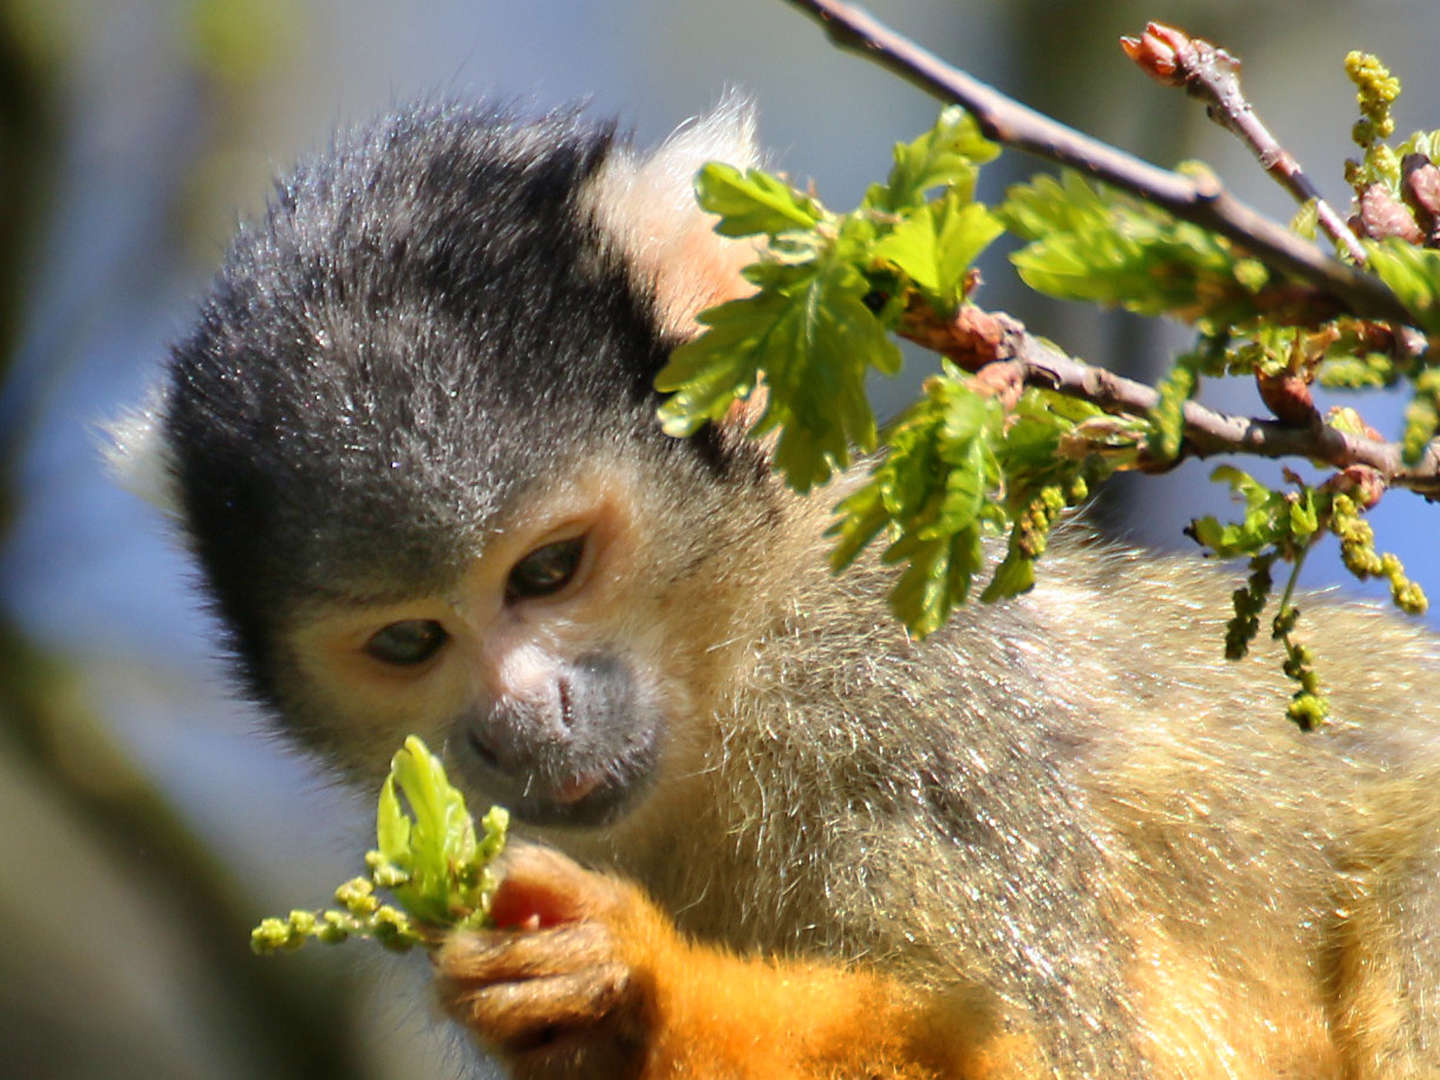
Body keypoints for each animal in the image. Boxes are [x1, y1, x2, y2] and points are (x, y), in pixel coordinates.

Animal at [109, 99, 1440, 1077]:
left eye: (547, 571)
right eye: (407, 642)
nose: (522, 721)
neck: (746, 658)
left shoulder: (918, 715)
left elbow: (1069, 1056)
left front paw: (637, 992)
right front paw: (577, 1026)